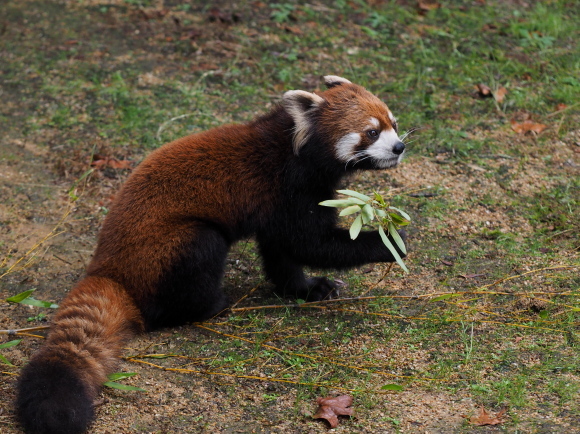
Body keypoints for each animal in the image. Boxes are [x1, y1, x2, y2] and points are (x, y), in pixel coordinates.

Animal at [14, 76, 404, 432]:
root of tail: (107, 269)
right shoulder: (289, 187)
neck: (294, 146)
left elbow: (282, 253)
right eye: (371, 132)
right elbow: (309, 243)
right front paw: (388, 240)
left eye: (393, 123)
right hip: (174, 247)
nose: (399, 147)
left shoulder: (277, 206)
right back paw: (212, 306)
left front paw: (307, 287)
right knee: (198, 255)